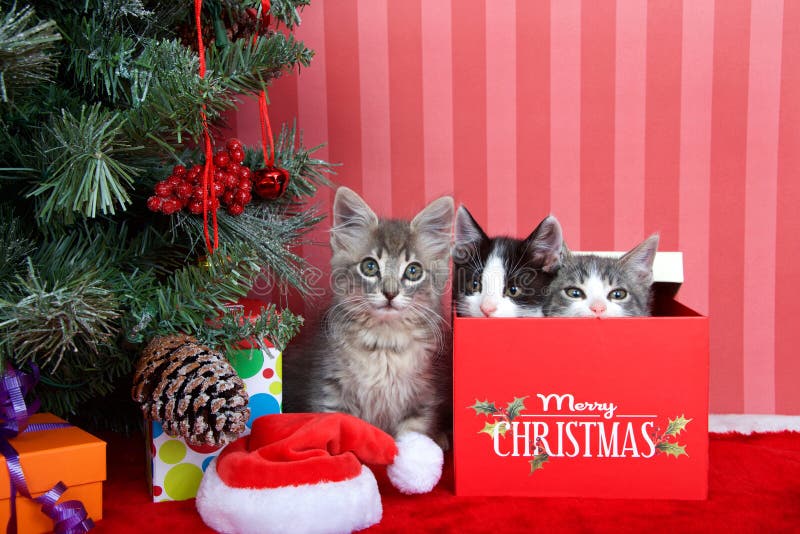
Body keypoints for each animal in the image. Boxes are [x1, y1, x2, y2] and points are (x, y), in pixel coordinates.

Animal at [284, 187, 454, 448]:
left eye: (413, 271)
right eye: (370, 267)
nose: (390, 293)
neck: (384, 345)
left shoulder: (422, 398)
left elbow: (412, 438)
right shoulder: (330, 390)